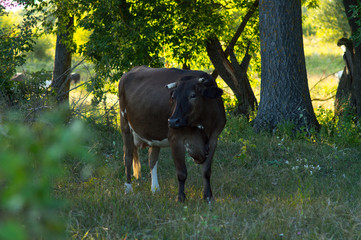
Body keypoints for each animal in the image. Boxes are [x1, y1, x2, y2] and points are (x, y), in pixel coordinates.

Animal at [118, 66, 225, 202]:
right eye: (173, 97)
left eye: (193, 95)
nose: (173, 121)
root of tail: (133, 69)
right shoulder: (176, 139)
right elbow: (181, 173)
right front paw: (181, 197)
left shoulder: (214, 138)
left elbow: (206, 171)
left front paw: (208, 197)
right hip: (125, 125)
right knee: (127, 157)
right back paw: (128, 188)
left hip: (154, 134)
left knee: (152, 159)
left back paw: (155, 189)